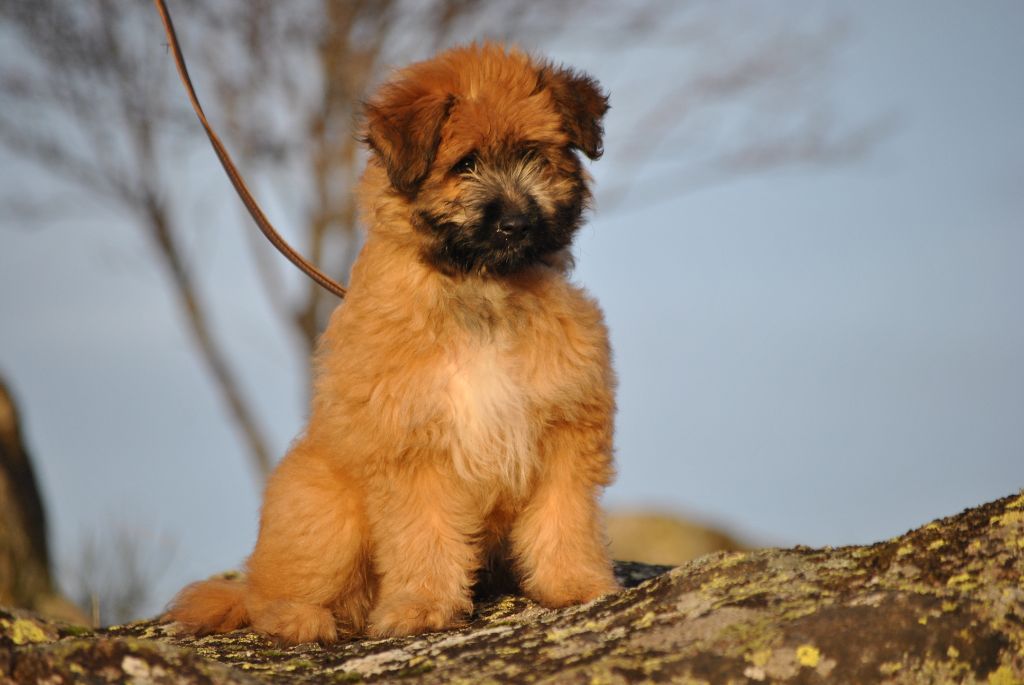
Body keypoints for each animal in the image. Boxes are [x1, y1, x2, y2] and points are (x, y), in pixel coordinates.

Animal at [165, 42, 622, 643]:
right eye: (465, 163)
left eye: (535, 155)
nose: (516, 224)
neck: (480, 292)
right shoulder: (412, 448)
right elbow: (424, 535)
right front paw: (423, 607)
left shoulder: (564, 430)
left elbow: (562, 517)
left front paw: (573, 584)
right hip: (325, 512)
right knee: (268, 592)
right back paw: (300, 618)